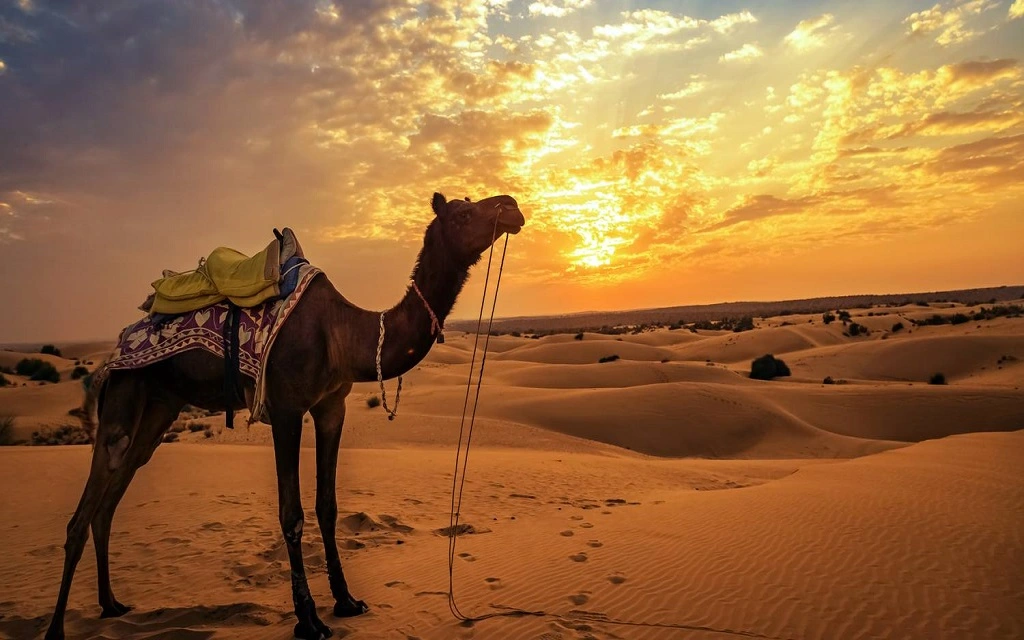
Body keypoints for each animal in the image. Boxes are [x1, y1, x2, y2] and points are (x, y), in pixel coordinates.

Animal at [46, 192, 528, 634]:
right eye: (463, 212)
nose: (512, 205)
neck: (346, 333)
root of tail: (122, 338)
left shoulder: (332, 407)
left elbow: (328, 506)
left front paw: (347, 600)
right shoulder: (286, 409)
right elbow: (291, 514)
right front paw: (308, 617)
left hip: (159, 408)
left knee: (110, 500)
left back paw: (111, 604)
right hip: (124, 395)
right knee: (84, 511)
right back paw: (57, 628)